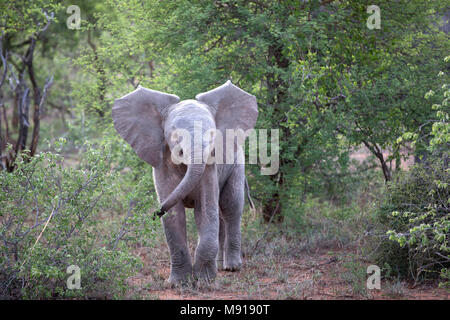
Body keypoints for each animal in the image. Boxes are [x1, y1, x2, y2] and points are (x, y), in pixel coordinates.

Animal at [111, 80, 256, 282]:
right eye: (174, 135)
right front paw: (179, 283)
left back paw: (231, 268)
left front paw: (205, 282)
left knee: (231, 206)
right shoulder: (163, 163)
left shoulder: (210, 166)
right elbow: (175, 216)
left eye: (213, 135)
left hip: (237, 164)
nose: (155, 213)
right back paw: (219, 266)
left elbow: (206, 209)